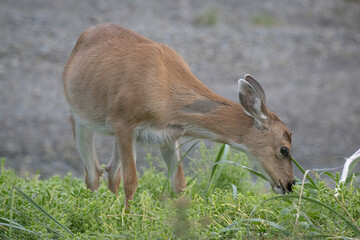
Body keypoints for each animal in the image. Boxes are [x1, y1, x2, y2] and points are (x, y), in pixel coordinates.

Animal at [63, 22, 296, 209]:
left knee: (111, 171)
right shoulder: (124, 122)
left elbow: (179, 183)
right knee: (93, 173)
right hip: (80, 117)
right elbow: (132, 181)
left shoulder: (168, 135)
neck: (166, 97)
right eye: (284, 149)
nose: (290, 184)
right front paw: (127, 219)